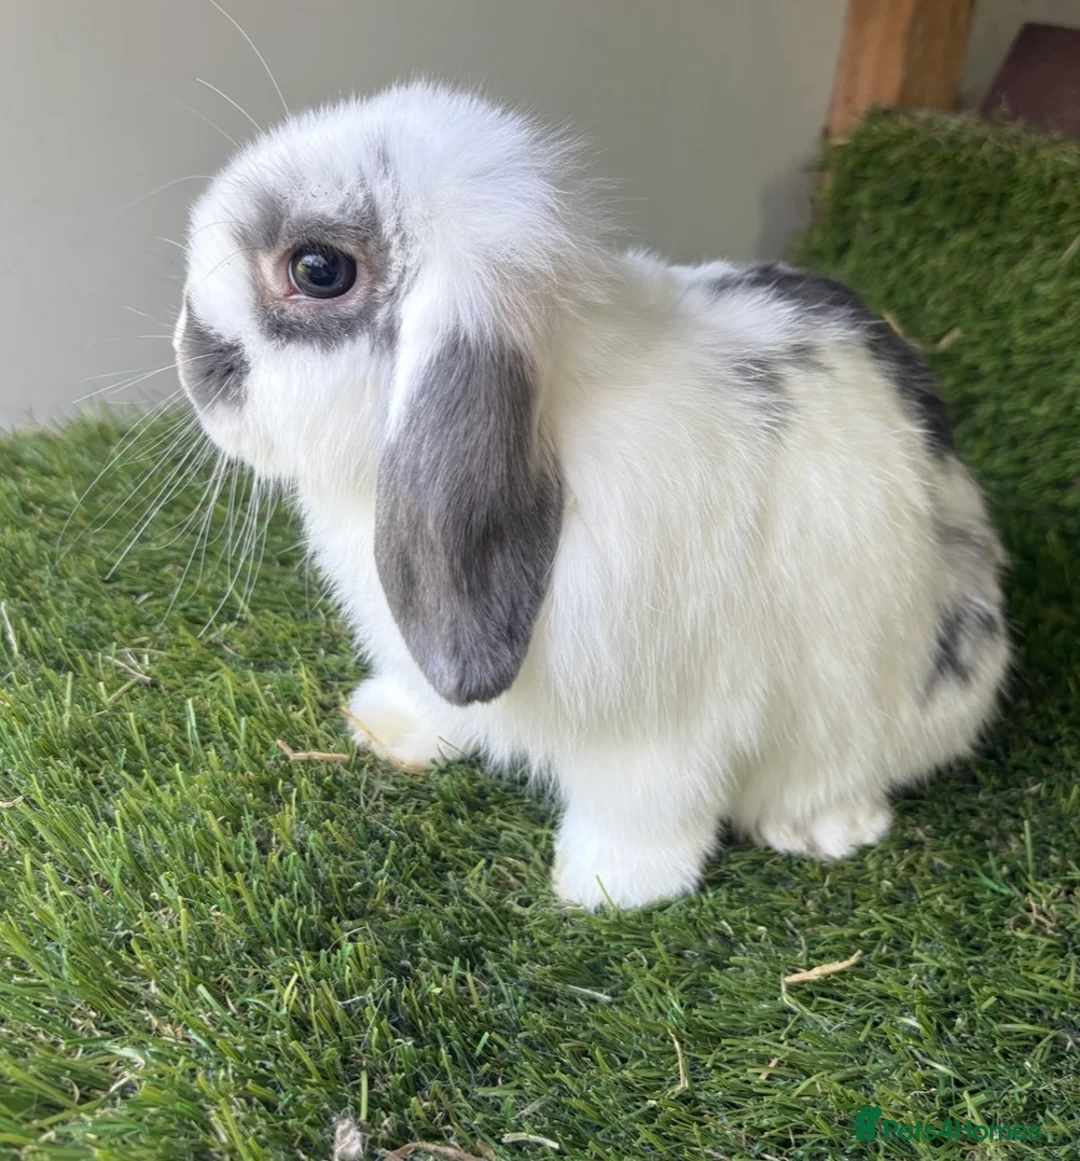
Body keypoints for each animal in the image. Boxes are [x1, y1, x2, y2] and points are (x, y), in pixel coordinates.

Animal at [174, 81, 1009, 910]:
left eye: (318, 269)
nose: (189, 349)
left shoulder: (664, 720)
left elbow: (645, 802)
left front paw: (607, 886)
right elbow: (432, 698)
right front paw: (383, 729)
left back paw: (819, 826)